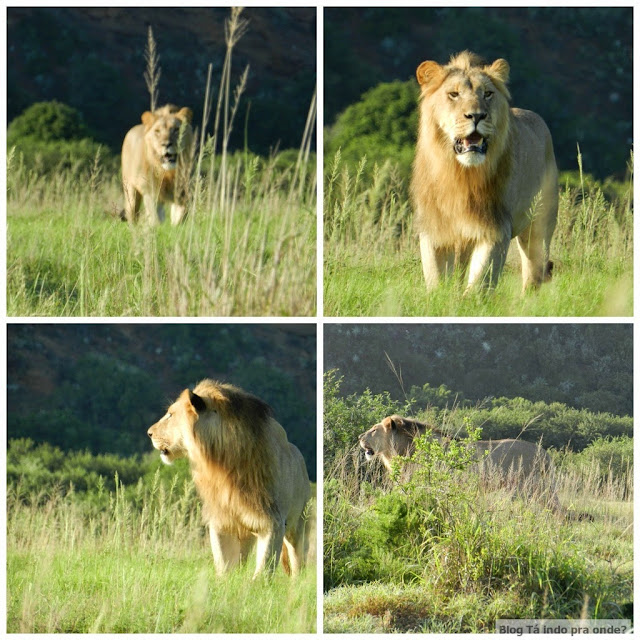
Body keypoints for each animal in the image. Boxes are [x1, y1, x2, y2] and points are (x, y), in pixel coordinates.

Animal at [148, 378, 312, 576]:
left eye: (171, 415)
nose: (149, 433)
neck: (221, 461)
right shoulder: (221, 519)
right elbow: (223, 563)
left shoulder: (273, 521)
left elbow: (264, 568)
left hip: (298, 523)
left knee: (297, 560)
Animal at [412, 51, 556, 292]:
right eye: (454, 94)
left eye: (488, 94)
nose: (477, 115)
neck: (459, 173)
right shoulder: (434, 227)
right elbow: (436, 279)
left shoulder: (495, 227)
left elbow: (480, 283)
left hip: (539, 228)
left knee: (533, 273)